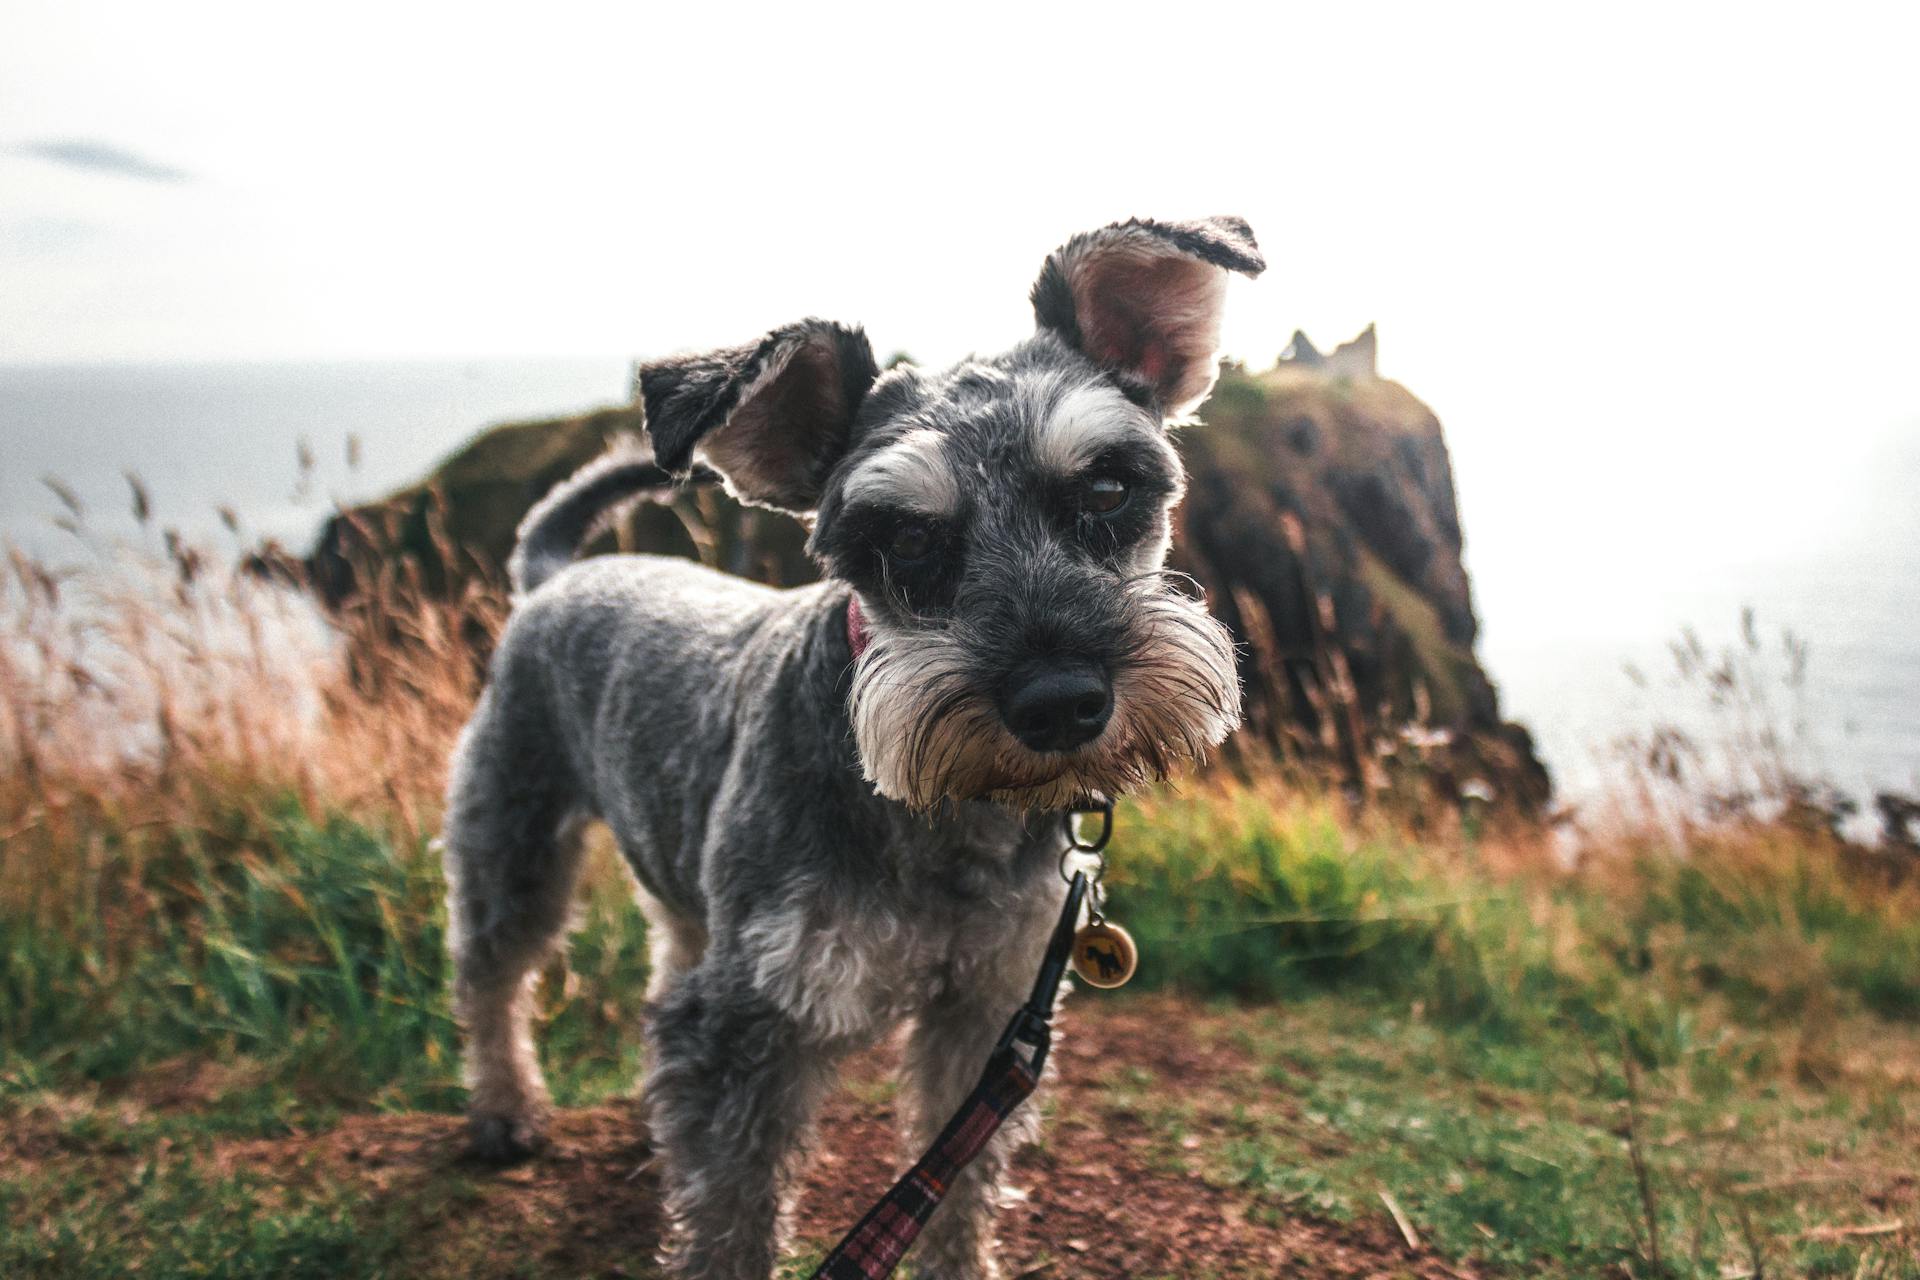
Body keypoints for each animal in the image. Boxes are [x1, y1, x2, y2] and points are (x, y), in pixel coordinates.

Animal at [441, 214, 1267, 1274]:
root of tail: (550, 578)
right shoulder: (753, 1026)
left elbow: (958, 1189)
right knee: (493, 973)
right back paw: (505, 1112)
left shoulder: (987, 1017)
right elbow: (733, 1217)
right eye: (903, 539)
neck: (948, 819)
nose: (1059, 701)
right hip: (515, 839)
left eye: (1108, 487)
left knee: (665, 959)